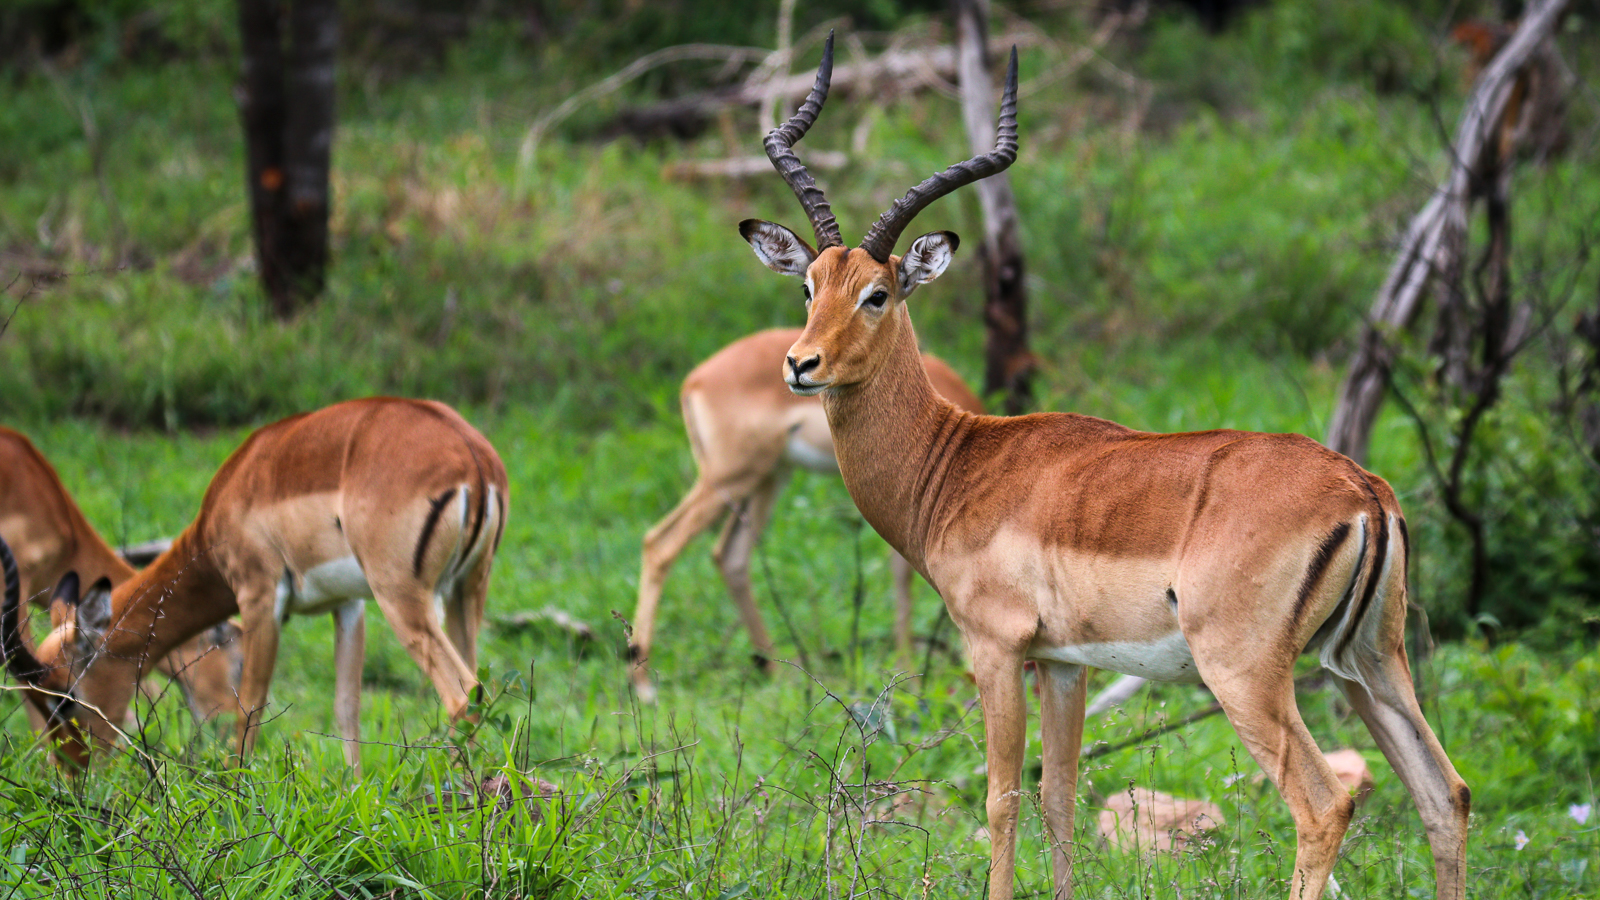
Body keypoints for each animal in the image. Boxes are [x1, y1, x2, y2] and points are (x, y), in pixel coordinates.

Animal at [630, 328, 983, 701]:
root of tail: (695, 379)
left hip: (767, 479)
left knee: (730, 556)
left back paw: (779, 671)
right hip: (731, 478)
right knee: (661, 543)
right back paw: (644, 685)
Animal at [738, 36, 1468, 900]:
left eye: (878, 293)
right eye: (809, 284)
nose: (800, 365)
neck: (955, 463)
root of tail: (1364, 492)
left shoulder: (996, 648)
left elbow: (1002, 797)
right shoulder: (1063, 662)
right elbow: (1058, 793)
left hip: (1250, 675)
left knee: (1325, 805)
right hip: (1369, 663)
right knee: (1445, 793)